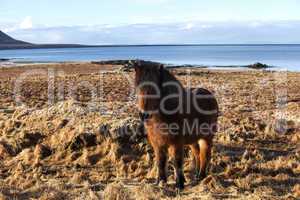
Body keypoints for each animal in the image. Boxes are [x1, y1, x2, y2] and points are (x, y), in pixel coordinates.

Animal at [134, 60, 218, 190]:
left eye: (156, 90)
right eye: (138, 88)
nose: (144, 114)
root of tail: (210, 95)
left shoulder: (176, 143)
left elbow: (177, 162)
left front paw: (179, 184)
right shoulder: (158, 144)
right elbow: (160, 161)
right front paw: (161, 181)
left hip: (206, 137)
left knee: (205, 154)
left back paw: (201, 176)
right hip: (193, 140)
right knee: (197, 154)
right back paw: (196, 174)